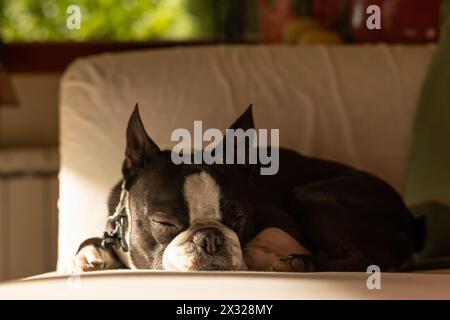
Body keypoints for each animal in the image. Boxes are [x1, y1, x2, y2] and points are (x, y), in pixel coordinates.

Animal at [67, 104, 422, 272]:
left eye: (239, 217)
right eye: (163, 222)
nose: (210, 239)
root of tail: (411, 221)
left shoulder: (278, 220)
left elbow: (262, 242)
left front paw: (260, 256)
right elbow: (93, 241)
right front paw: (88, 256)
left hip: (308, 195)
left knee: (359, 258)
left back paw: (302, 263)